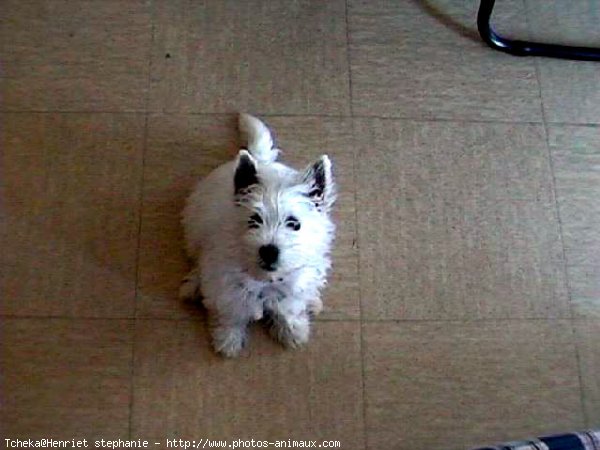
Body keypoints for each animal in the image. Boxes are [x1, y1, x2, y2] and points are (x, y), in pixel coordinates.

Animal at [180, 114, 336, 356]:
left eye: (294, 223)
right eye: (254, 219)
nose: (269, 251)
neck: (266, 281)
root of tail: (260, 160)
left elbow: (289, 310)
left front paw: (293, 332)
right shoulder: (226, 288)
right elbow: (230, 314)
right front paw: (228, 340)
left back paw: (313, 301)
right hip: (195, 229)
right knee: (197, 261)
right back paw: (192, 286)